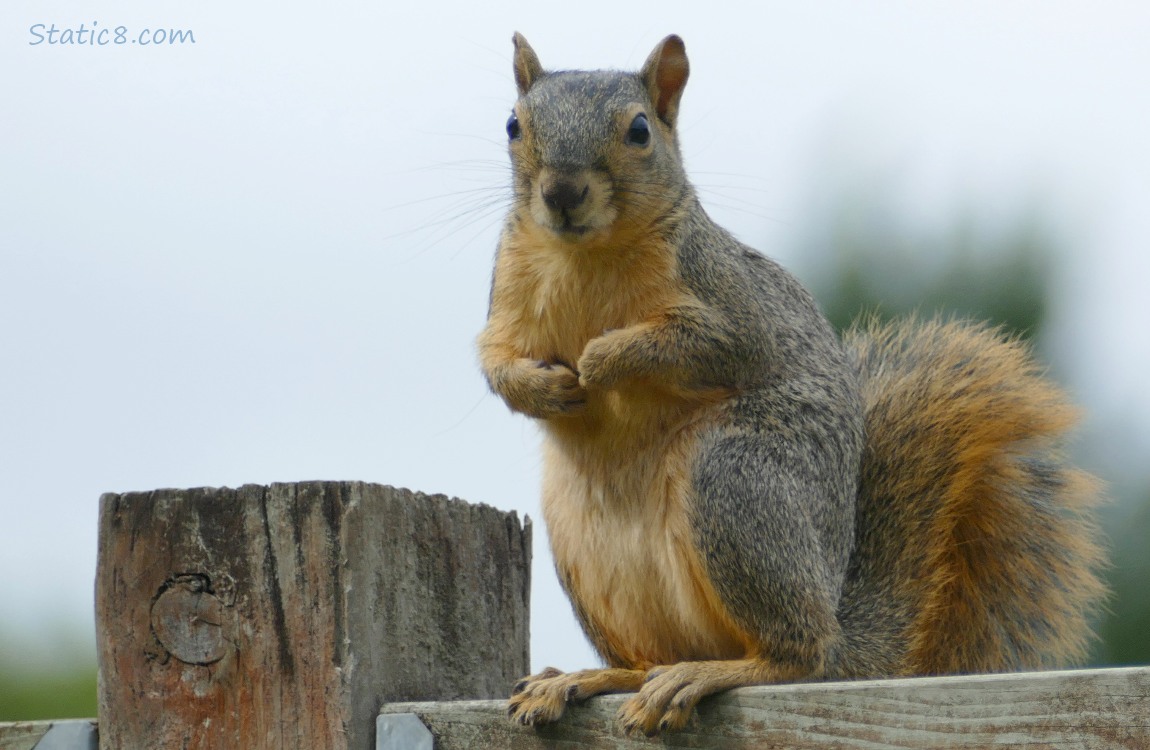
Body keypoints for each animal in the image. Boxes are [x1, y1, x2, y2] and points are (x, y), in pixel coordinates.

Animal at [476, 32, 1104, 736]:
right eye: (513, 125)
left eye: (639, 130)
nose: (562, 192)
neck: (584, 253)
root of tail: (838, 626)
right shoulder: (507, 298)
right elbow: (494, 361)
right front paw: (543, 388)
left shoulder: (728, 303)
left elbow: (705, 346)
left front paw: (604, 359)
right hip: (588, 550)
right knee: (647, 661)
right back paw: (588, 678)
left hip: (738, 481)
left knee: (795, 655)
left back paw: (709, 672)